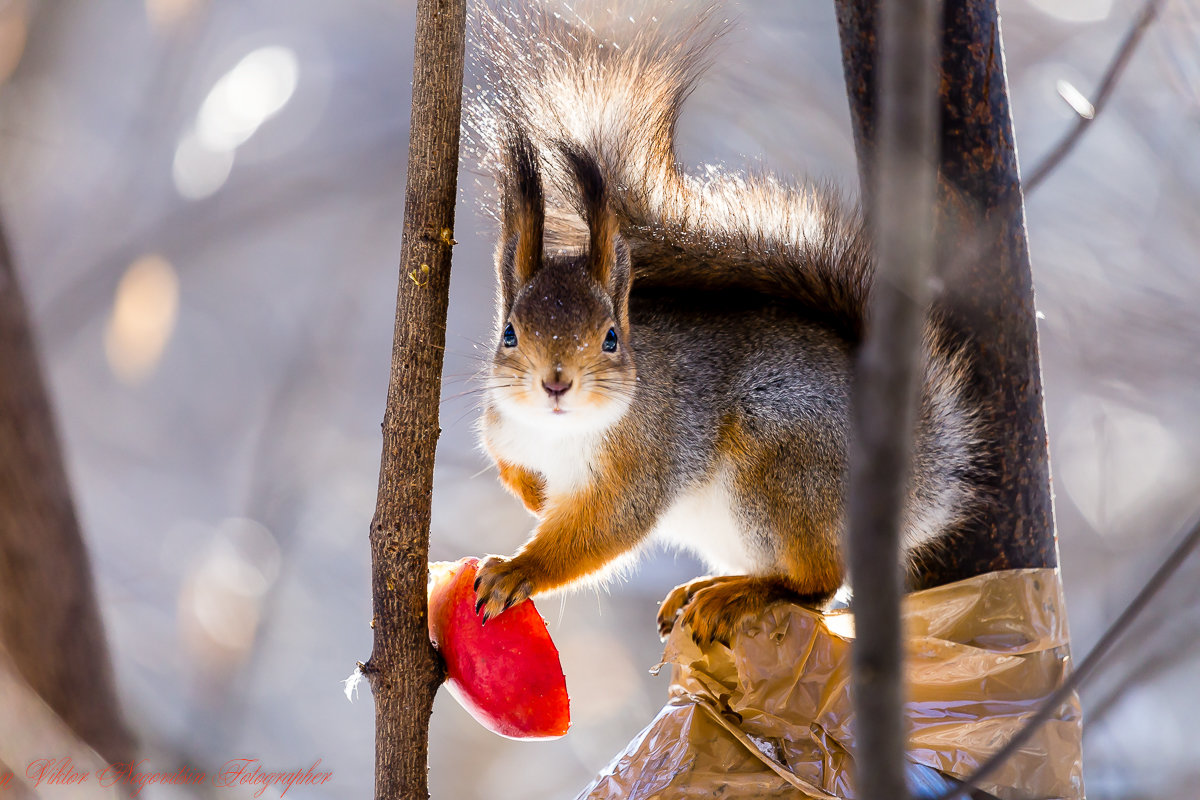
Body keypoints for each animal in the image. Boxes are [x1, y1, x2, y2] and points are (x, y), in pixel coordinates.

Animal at [465, 3, 984, 647]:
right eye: (509, 334)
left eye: (611, 338)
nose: (556, 382)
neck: (557, 432)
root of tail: (913, 482)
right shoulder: (503, 432)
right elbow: (513, 471)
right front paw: (536, 497)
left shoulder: (644, 462)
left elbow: (603, 531)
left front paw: (520, 569)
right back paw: (707, 586)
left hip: (784, 466)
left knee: (818, 586)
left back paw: (741, 594)